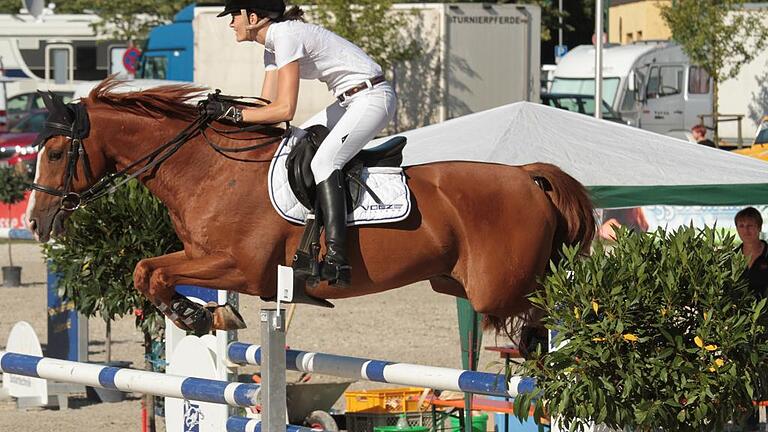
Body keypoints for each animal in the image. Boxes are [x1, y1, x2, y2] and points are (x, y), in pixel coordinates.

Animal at [27, 79, 596, 336]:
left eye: (54, 154)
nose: (35, 222)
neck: (207, 170)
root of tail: (525, 176)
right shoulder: (202, 258)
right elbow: (146, 270)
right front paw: (201, 316)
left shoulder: (240, 267)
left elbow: (154, 271)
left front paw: (197, 315)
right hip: (457, 281)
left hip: (497, 290)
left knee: (547, 313)